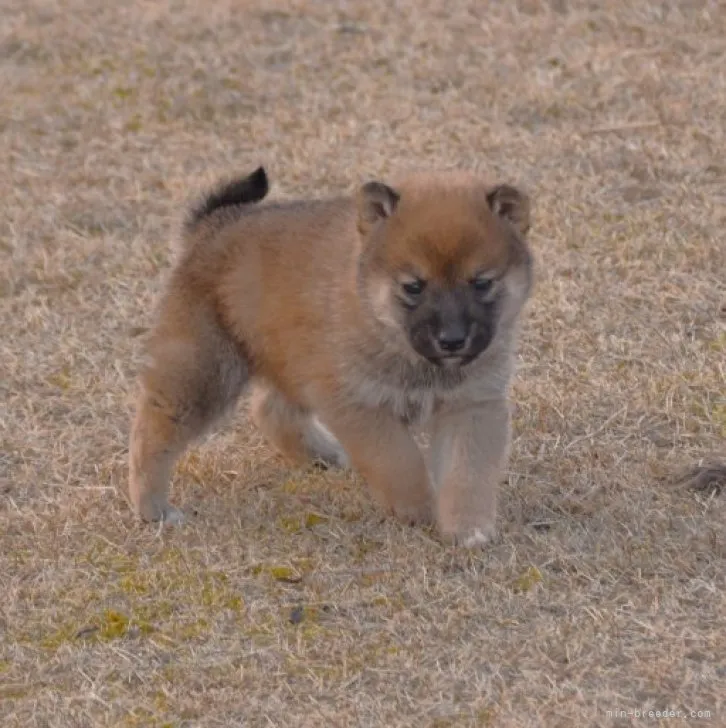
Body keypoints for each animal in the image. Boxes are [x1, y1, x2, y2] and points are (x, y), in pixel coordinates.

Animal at [128, 165, 532, 544]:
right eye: (414, 287)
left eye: (481, 283)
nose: (452, 340)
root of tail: (211, 225)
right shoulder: (358, 405)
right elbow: (400, 462)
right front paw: (418, 507)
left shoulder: (471, 406)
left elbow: (468, 473)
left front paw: (468, 529)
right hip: (204, 370)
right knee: (154, 429)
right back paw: (152, 506)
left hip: (288, 360)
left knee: (270, 411)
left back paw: (322, 455)